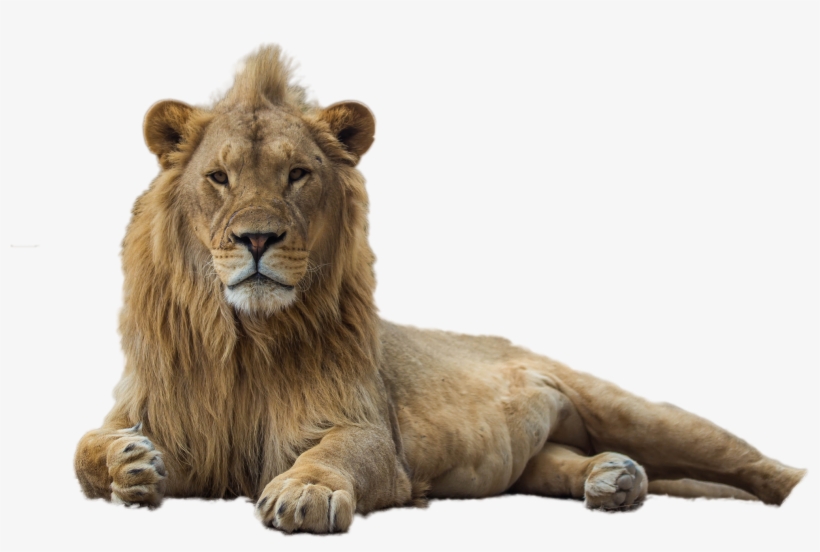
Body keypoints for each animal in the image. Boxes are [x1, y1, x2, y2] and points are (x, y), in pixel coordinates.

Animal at [74, 45, 805, 533]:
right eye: (219, 178)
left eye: (298, 175)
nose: (257, 238)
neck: (244, 340)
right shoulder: (170, 419)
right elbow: (83, 450)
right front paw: (127, 464)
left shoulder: (372, 432)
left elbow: (337, 450)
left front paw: (304, 491)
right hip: (534, 457)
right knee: (561, 460)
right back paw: (613, 478)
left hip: (634, 411)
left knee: (753, 462)